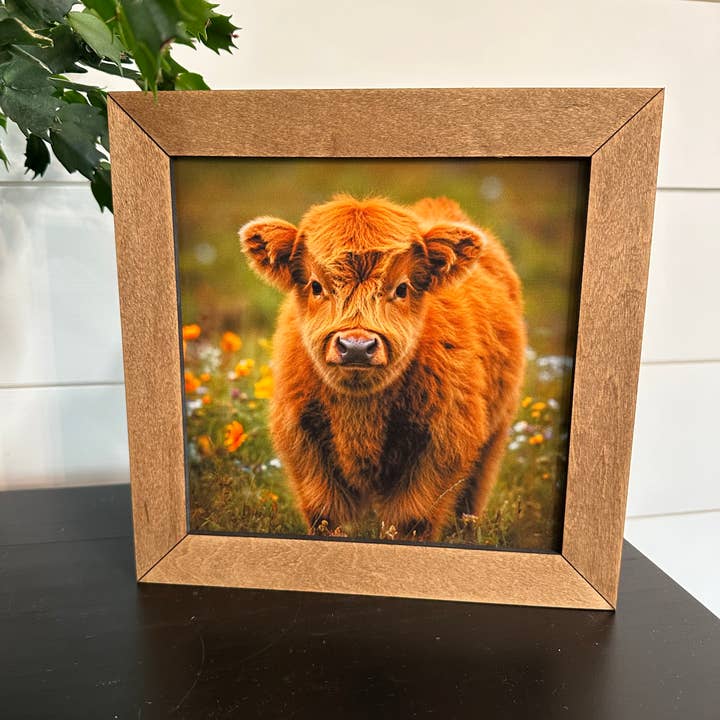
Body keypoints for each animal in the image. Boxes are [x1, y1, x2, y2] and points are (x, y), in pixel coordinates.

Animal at [239, 194, 526, 541]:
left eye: (401, 288)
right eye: (316, 286)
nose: (356, 346)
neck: (361, 415)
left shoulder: (442, 444)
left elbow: (412, 520)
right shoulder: (304, 442)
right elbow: (326, 515)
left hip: (494, 435)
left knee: (470, 500)